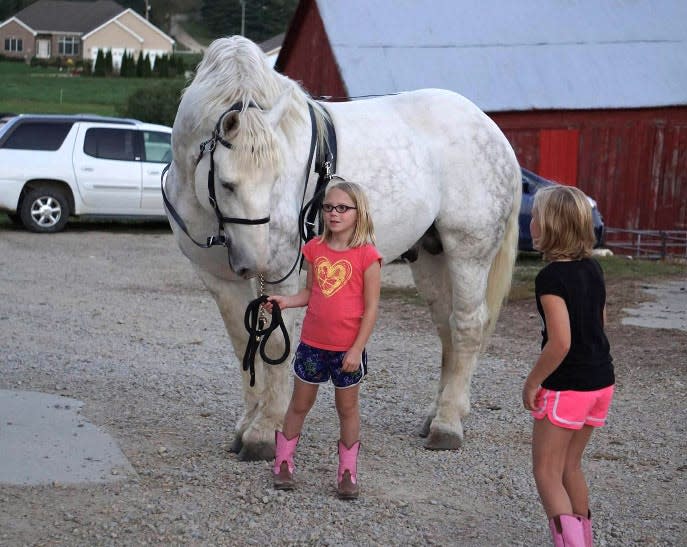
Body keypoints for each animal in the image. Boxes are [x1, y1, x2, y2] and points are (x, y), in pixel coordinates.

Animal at [165, 36, 520, 460]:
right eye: (228, 183)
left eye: (278, 179)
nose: (255, 261)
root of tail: (490, 129)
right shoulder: (218, 278)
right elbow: (242, 341)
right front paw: (246, 423)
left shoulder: (282, 272)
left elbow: (277, 342)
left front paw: (264, 432)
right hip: (431, 257)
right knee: (446, 326)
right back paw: (437, 413)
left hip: (468, 251)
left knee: (467, 325)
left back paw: (447, 425)